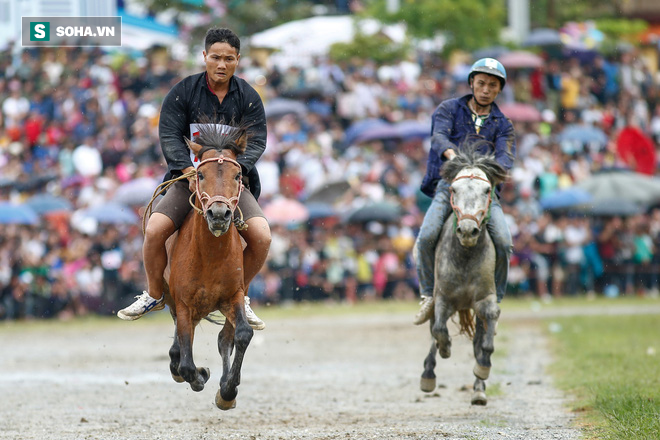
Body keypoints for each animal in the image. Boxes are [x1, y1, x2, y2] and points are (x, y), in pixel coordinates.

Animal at [161, 123, 251, 410]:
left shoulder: (234, 295)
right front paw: (200, 375)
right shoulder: (184, 304)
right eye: (200, 174)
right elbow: (187, 364)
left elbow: (242, 335)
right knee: (179, 350)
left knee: (224, 338)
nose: (219, 214)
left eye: (238, 175)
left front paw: (228, 390)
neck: (210, 256)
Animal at [420, 145, 508, 406]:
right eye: (453, 189)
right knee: (433, 328)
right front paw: (445, 348)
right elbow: (439, 329)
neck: (465, 255)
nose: (468, 230)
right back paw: (428, 374)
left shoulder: (485, 300)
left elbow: (486, 339)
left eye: (487, 190)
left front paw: (483, 368)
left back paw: (479, 390)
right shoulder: (443, 299)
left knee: (479, 337)